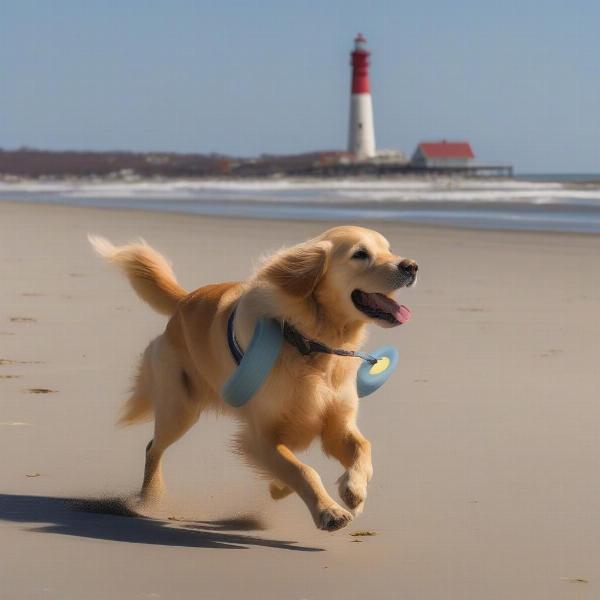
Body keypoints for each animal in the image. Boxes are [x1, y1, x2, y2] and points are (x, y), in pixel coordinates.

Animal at [89, 227, 418, 532]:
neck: (310, 343)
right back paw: (150, 498)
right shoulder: (259, 437)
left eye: (388, 249)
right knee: (153, 448)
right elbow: (302, 470)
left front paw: (353, 490)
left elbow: (363, 447)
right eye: (360, 254)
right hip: (179, 409)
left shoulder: (336, 424)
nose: (412, 266)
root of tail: (185, 300)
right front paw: (329, 511)